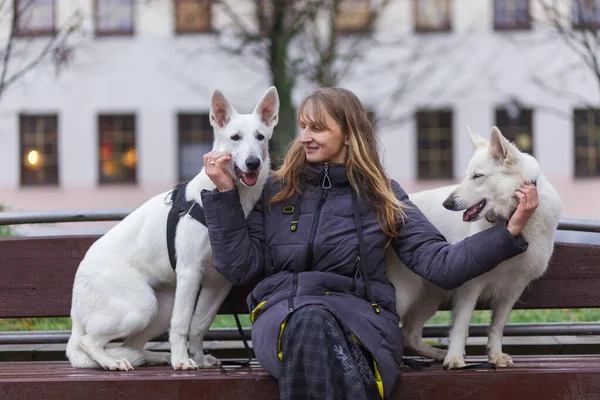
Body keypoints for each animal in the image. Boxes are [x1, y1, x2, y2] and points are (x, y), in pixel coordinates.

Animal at [67, 86, 278, 370]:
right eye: (235, 137)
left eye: (260, 137)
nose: (253, 162)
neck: (221, 196)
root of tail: (75, 303)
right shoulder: (190, 273)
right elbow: (182, 324)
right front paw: (182, 360)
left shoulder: (218, 282)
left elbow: (199, 324)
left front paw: (198, 358)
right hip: (141, 305)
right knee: (88, 341)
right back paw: (115, 362)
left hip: (160, 308)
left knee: (130, 344)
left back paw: (151, 357)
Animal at [384, 126, 564, 370]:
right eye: (466, 175)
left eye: (477, 176)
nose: (447, 204)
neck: (509, 222)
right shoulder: (470, 287)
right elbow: (462, 324)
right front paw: (455, 358)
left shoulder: (512, 289)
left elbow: (497, 326)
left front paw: (495, 356)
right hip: (404, 294)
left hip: (428, 298)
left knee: (409, 335)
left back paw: (435, 354)